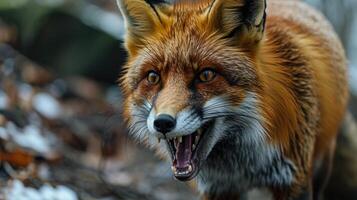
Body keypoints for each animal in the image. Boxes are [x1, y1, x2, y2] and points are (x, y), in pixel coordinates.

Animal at [116, 0, 348, 199]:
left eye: (206, 75)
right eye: (153, 77)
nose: (163, 122)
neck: (241, 168)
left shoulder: (293, 179)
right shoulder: (220, 188)